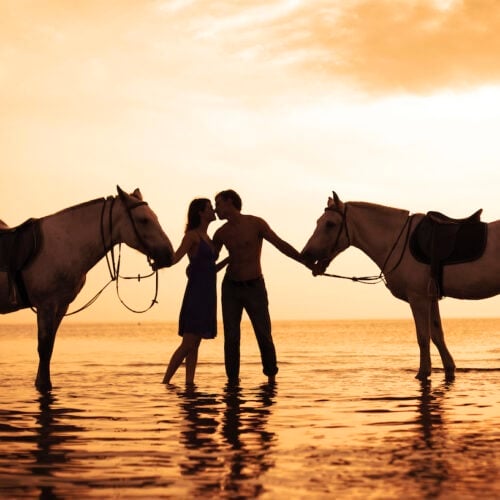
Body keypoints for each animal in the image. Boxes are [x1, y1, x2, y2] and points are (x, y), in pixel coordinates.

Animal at [0, 186, 174, 392]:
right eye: (144, 220)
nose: (169, 255)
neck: (64, 245)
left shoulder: (61, 306)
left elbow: (50, 347)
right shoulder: (46, 305)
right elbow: (44, 348)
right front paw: (43, 385)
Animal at [300, 191, 500, 378]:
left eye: (330, 224)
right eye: (318, 221)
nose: (305, 254)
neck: (396, 240)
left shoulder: (418, 298)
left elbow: (423, 337)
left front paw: (423, 372)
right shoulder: (431, 297)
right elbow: (437, 335)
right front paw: (449, 367)